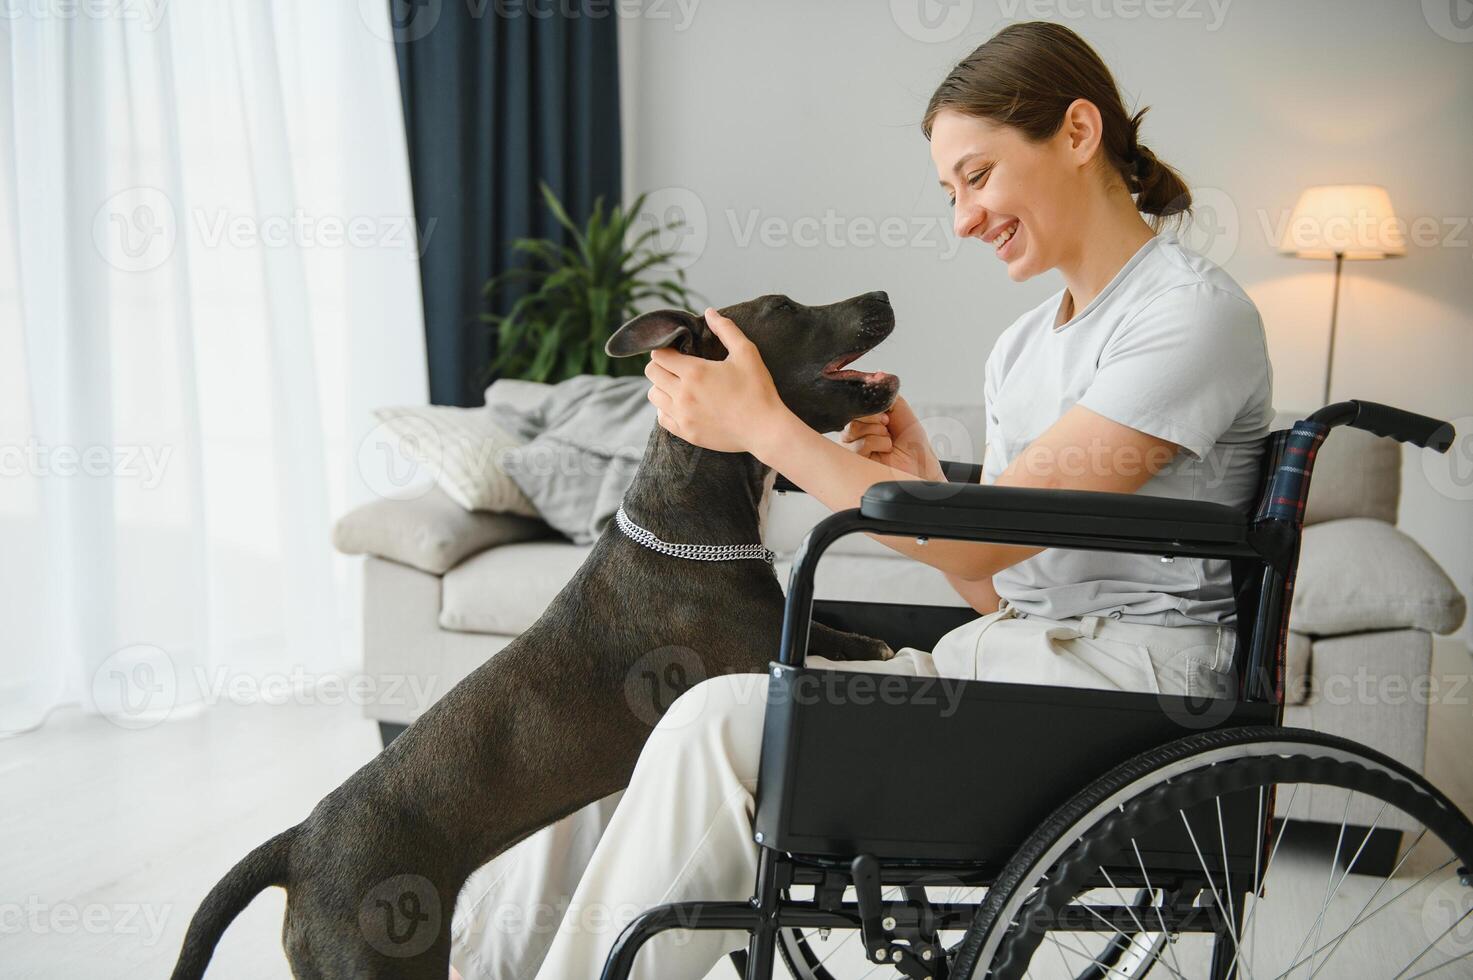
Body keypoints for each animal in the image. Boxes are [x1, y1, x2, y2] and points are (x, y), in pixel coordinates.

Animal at [172, 290, 901, 978]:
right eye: (782, 307)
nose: (882, 296)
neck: (691, 515)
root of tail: (299, 842)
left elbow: (824, 621)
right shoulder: (750, 655)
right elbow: (822, 640)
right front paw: (872, 649)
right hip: (381, 952)